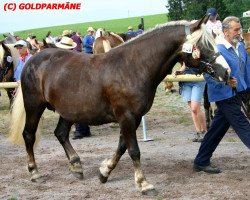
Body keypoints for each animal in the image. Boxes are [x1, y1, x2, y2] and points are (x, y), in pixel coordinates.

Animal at [7, 15, 230, 195]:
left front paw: (104, 172)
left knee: (61, 134)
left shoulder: (134, 117)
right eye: (203, 44)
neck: (133, 67)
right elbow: (134, 150)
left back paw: (76, 166)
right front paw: (143, 184)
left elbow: (122, 146)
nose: (226, 72)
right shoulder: (126, 116)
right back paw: (35, 173)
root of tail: (33, 59)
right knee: (28, 135)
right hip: (34, 107)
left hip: (68, 111)